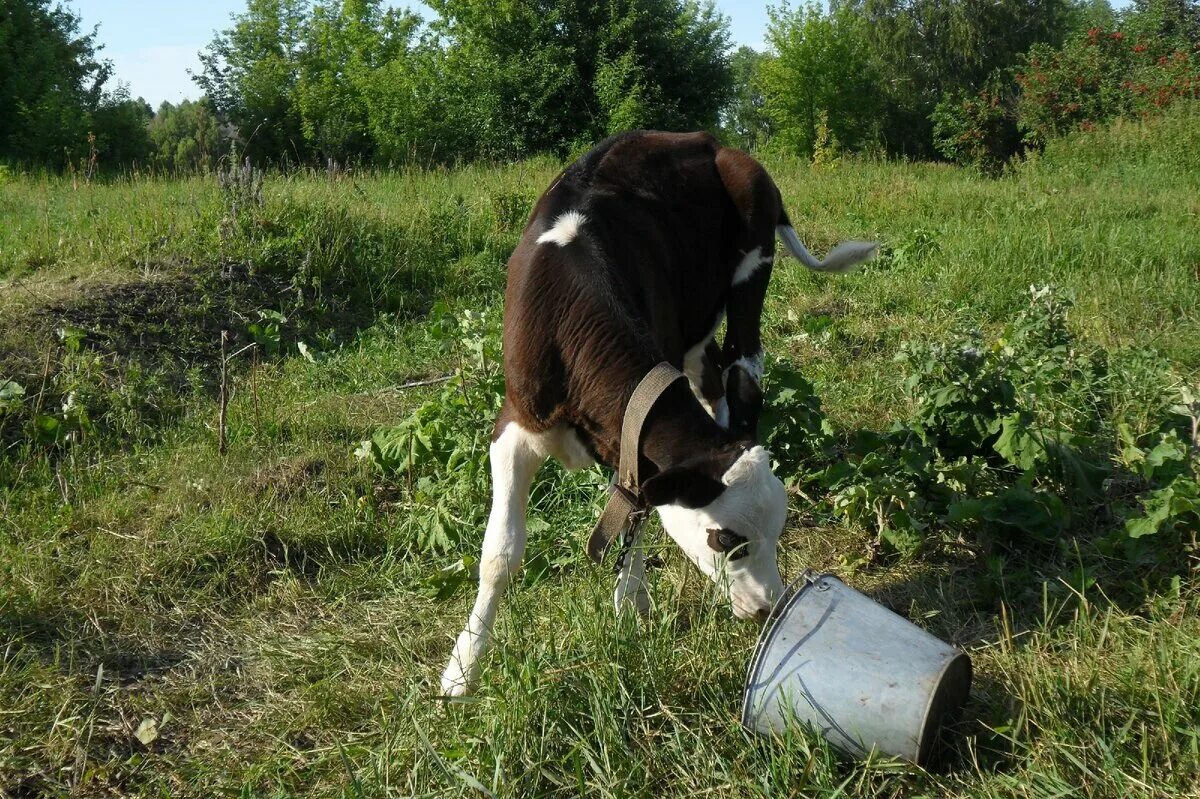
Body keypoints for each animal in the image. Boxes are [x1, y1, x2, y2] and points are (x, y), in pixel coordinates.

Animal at [441, 128, 873, 691]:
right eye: (725, 539)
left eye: (779, 530)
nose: (769, 608)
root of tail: (706, 140)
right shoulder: (515, 420)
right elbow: (500, 552)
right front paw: (464, 668)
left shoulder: (640, 433)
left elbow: (637, 511)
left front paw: (630, 604)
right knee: (716, 377)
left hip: (752, 271)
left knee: (743, 369)